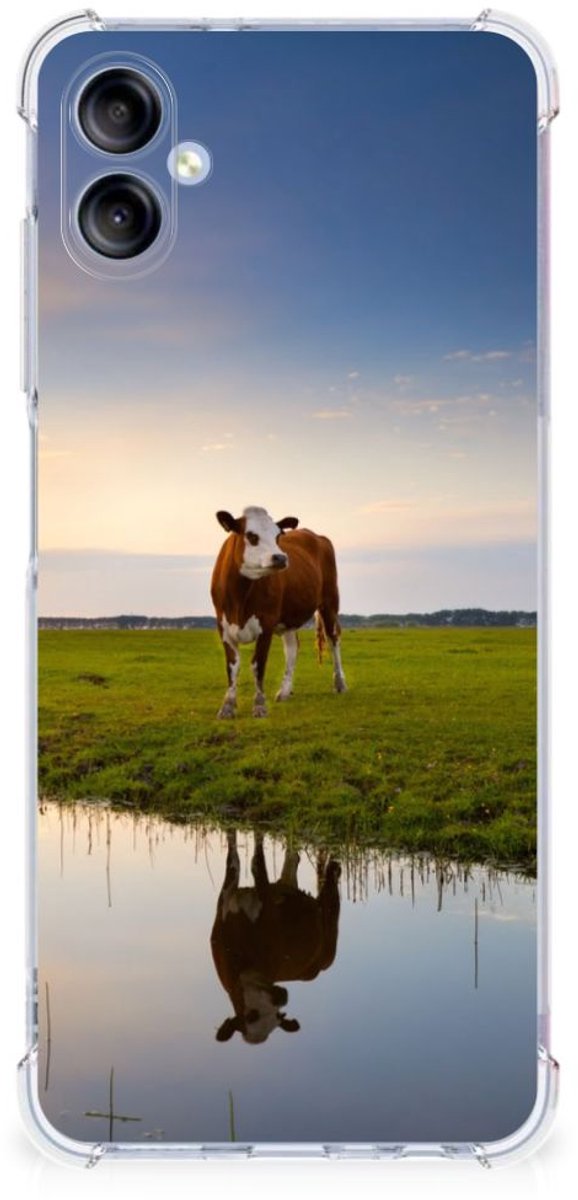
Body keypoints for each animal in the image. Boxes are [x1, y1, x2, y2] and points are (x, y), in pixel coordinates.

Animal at [210, 506, 346, 718]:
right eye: (251, 535)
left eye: (277, 536)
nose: (281, 557)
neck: (240, 597)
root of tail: (316, 535)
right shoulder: (223, 626)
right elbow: (232, 666)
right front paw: (227, 706)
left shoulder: (266, 624)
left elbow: (258, 665)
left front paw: (259, 705)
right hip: (289, 618)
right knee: (292, 647)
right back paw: (284, 691)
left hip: (330, 601)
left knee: (333, 639)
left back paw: (339, 683)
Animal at [210, 831, 341, 1045]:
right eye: (251, 1016)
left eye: (278, 1016)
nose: (282, 997)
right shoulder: (225, 900)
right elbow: (233, 860)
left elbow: (257, 863)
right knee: (293, 860)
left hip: (329, 928)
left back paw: (334, 867)